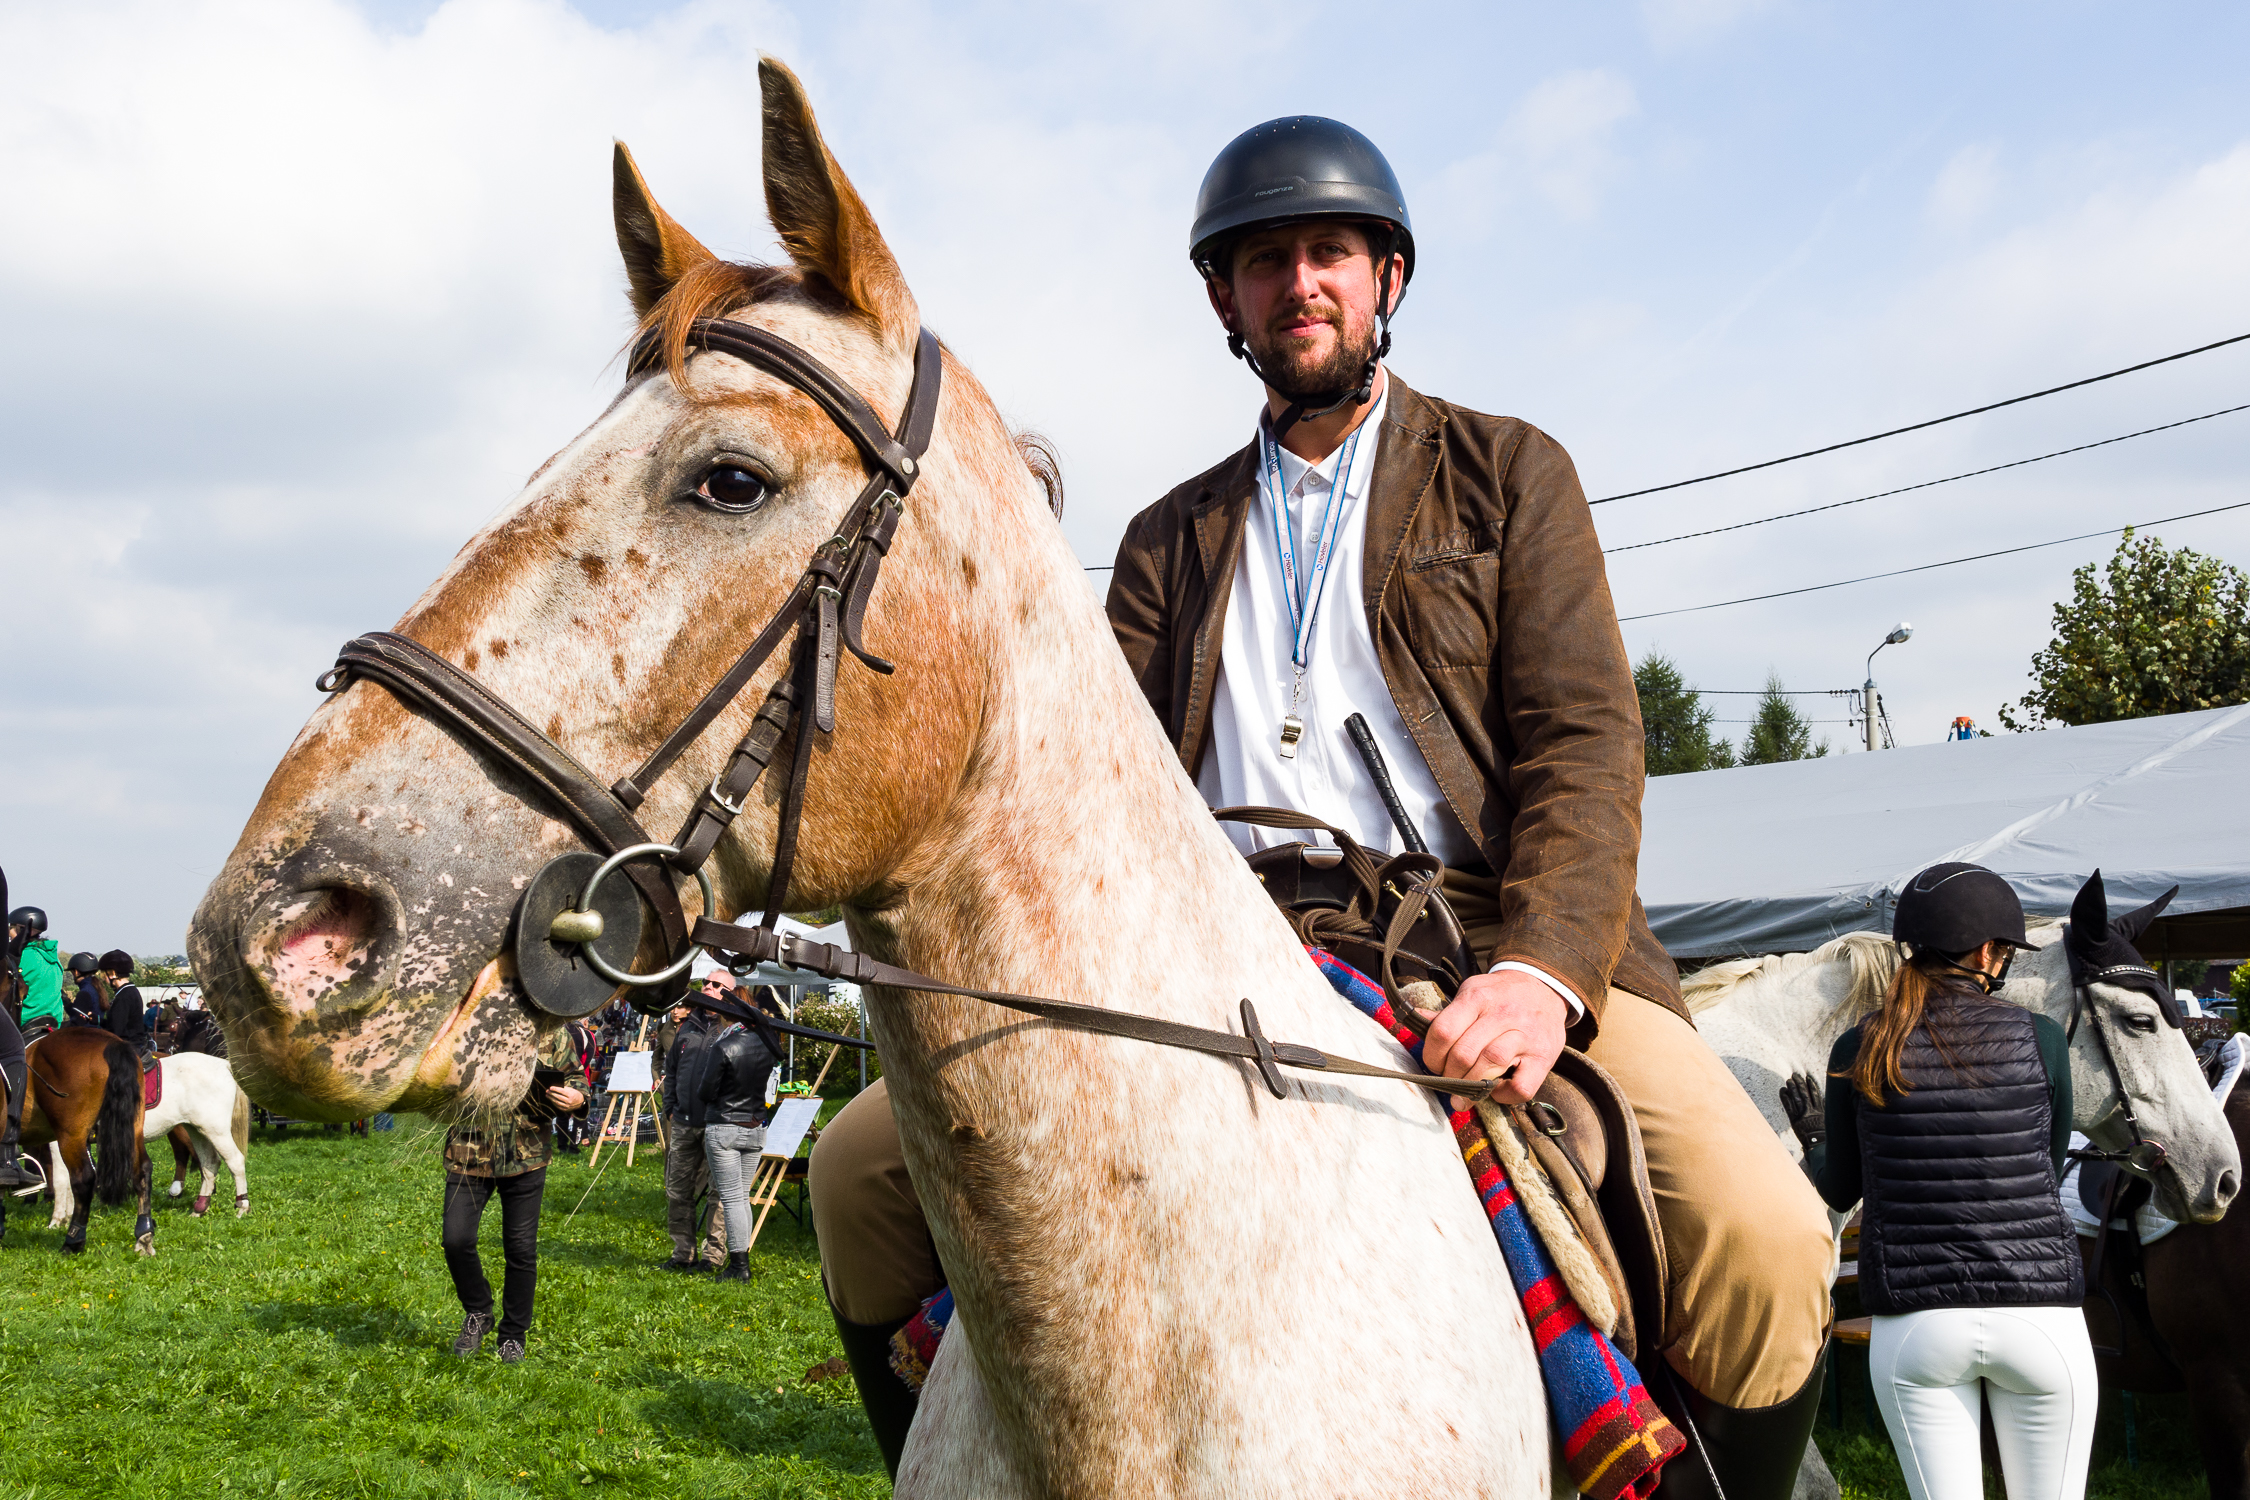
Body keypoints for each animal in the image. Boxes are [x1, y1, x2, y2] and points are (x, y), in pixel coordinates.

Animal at [47, 1052, 250, 1223]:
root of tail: (223, 1064)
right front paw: (68, 1215)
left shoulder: (61, 1141)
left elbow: (60, 1179)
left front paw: (57, 1220)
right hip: (196, 1129)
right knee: (209, 1164)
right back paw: (200, 1208)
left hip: (216, 1131)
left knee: (235, 1161)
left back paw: (242, 1206)